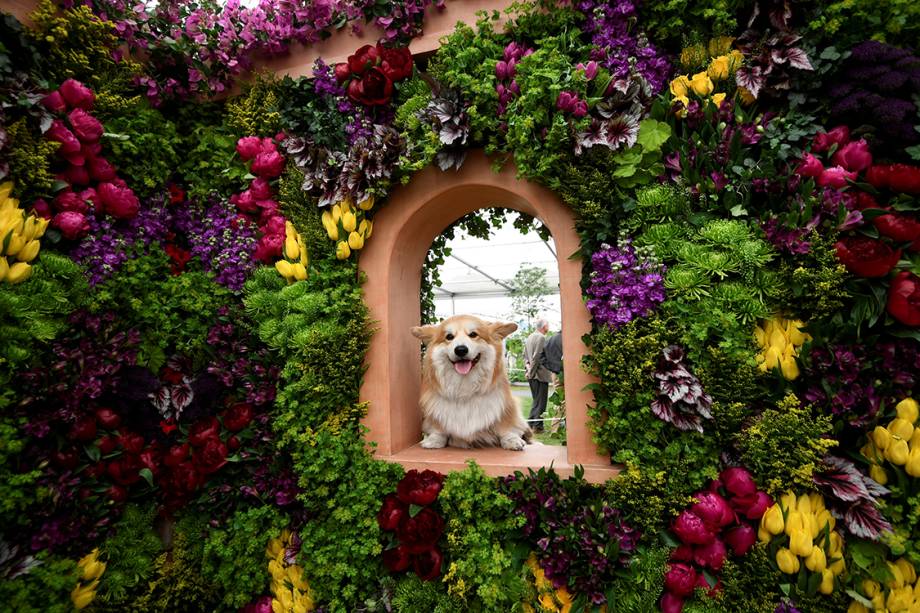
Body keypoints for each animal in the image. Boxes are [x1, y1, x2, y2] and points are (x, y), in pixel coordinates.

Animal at [412, 316, 532, 450]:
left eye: (473, 334)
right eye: (449, 336)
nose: (460, 350)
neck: (464, 386)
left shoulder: (505, 406)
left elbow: (506, 427)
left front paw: (511, 440)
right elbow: (438, 429)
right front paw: (435, 439)